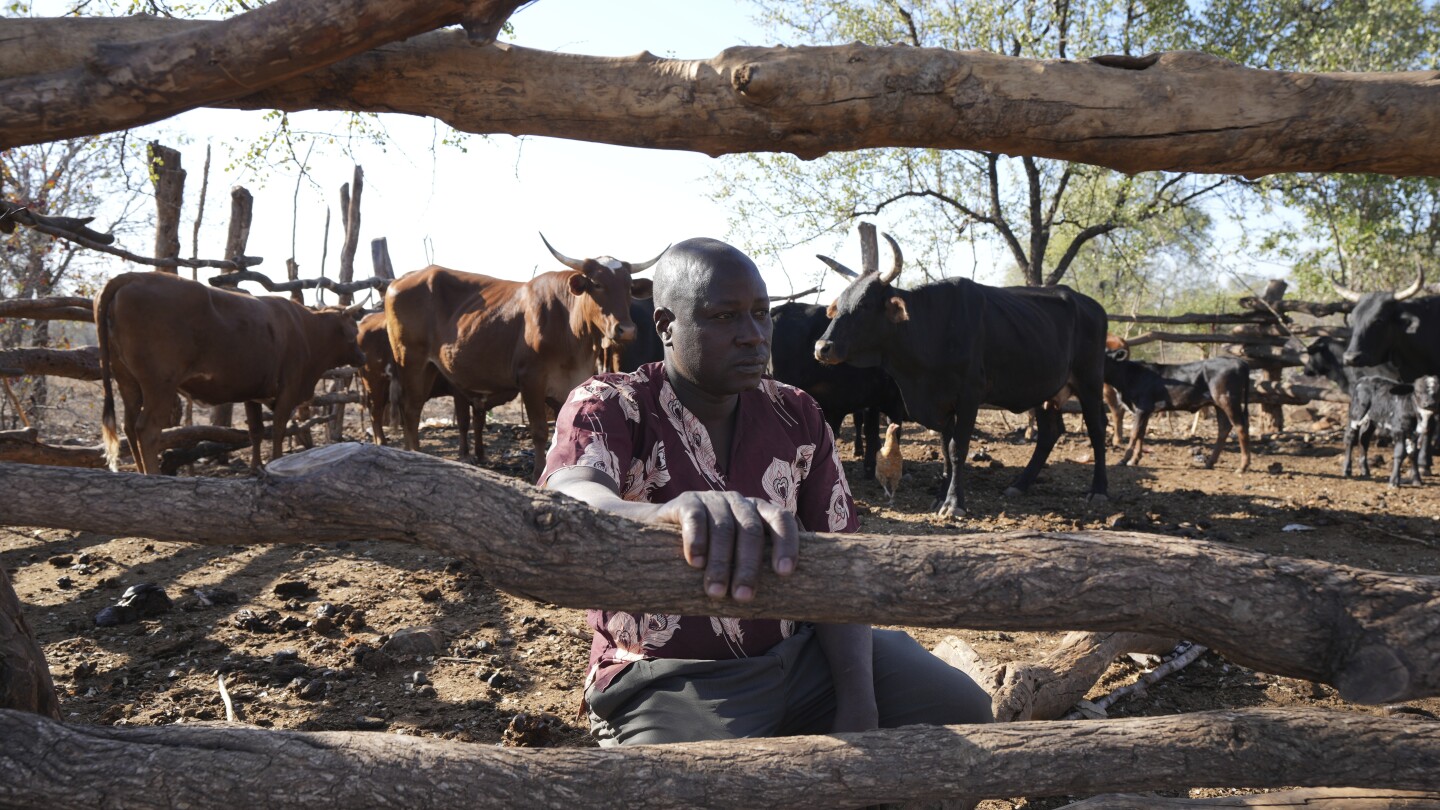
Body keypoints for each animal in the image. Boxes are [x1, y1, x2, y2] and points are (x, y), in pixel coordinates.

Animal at [95, 270, 362, 472]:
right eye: (355, 327)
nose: (363, 356)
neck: (307, 330)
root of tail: (134, 276)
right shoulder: (288, 389)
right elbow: (277, 429)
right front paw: (275, 463)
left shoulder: (254, 392)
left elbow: (256, 431)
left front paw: (256, 468)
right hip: (159, 384)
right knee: (147, 429)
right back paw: (153, 474)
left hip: (127, 381)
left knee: (129, 427)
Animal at [380, 236, 656, 481]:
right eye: (597, 283)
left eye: (629, 287)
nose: (626, 330)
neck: (569, 327)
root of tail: (402, 279)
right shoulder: (531, 380)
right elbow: (539, 430)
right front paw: (537, 473)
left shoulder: (569, 383)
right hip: (411, 361)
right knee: (411, 409)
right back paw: (414, 453)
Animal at [817, 224, 1105, 515]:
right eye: (840, 304)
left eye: (864, 305)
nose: (822, 347)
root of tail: (1091, 305)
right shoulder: (942, 402)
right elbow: (945, 449)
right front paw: (940, 497)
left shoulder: (969, 396)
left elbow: (958, 448)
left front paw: (954, 502)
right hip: (1045, 390)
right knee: (1049, 433)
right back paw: (1019, 485)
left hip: (1090, 381)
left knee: (1097, 428)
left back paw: (1098, 491)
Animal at [1100, 348, 1249, 472]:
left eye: (1104, 357)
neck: (1128, 377)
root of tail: (1238, 361)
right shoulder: (1145, 410)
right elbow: (1141, 433)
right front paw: (1135, 460)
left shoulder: (1142, 407)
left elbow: (1134, 433)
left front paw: (1124, 460)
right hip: (1219, 404)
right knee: (1224, 428)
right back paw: (1210, 463)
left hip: (1227, 400)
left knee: (1240, 426)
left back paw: (1243, 466)